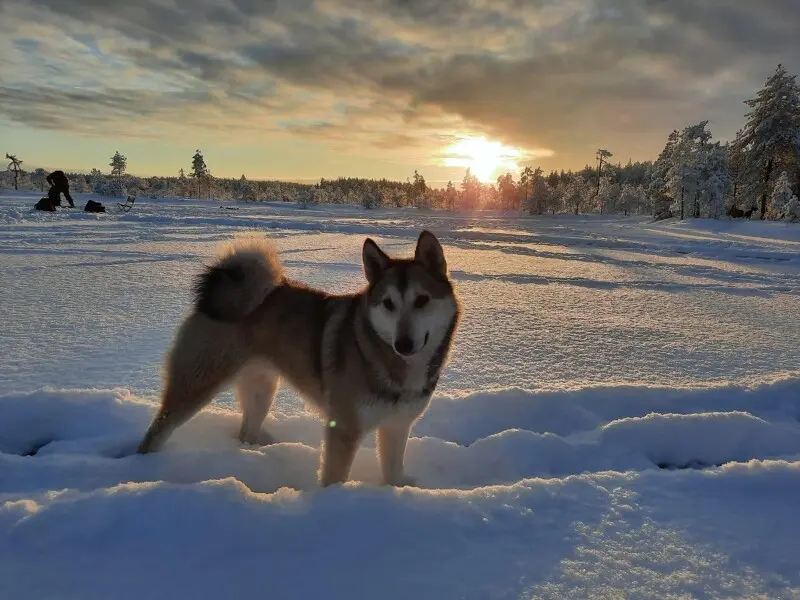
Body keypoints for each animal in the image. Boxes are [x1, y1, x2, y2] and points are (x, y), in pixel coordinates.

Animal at [138, 230, 460, 488]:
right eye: (388, 303)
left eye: (422, 300)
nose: (403, 344)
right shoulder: (344, 429)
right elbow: (334, 477)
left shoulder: (396, 426)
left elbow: (393, 471)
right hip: (197, 383)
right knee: (157, 430)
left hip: (262, 387)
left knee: (247, 430)